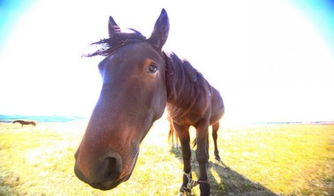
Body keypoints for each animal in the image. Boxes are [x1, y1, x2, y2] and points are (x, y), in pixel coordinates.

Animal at [74, 9, 223, 196]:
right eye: (101, 68)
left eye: (152, 68)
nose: (92, 167)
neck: (189, 97)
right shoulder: (180, 126)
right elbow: (187, 155)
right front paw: (185, 186)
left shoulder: (202, 124)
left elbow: (201, 156)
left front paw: (203, 186)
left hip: (215, 123)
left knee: (214, 137)